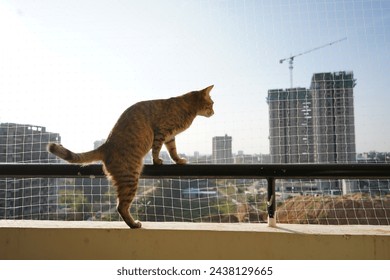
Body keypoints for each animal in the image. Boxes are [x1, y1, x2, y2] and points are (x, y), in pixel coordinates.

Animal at [48, 85, 215, 228]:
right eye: (212, 103)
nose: (214, 112)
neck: (186, 106)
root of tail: (105, 146)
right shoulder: (161, 132)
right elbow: (156, 150)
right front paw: (157, 161)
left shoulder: (170, 137)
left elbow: (173, 151)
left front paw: (179, 160)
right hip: (130, 178)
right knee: (121, 206)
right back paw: (134, 224)